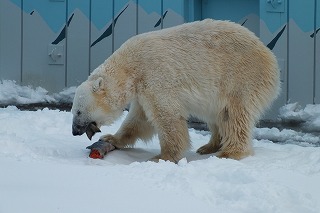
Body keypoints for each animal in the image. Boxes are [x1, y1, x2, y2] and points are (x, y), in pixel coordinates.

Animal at [70, 19, 280, 162]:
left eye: (78, 111)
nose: (74, 131)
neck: (131, 66)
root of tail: (269, 55)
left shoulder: (156, 76)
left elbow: (167, 116)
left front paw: (162, 157)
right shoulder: (142, 89)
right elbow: (139, 120)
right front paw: (111, 137)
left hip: (240, 78)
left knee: (234, 115)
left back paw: (230, 152)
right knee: (216, 115)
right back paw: (209, 146)